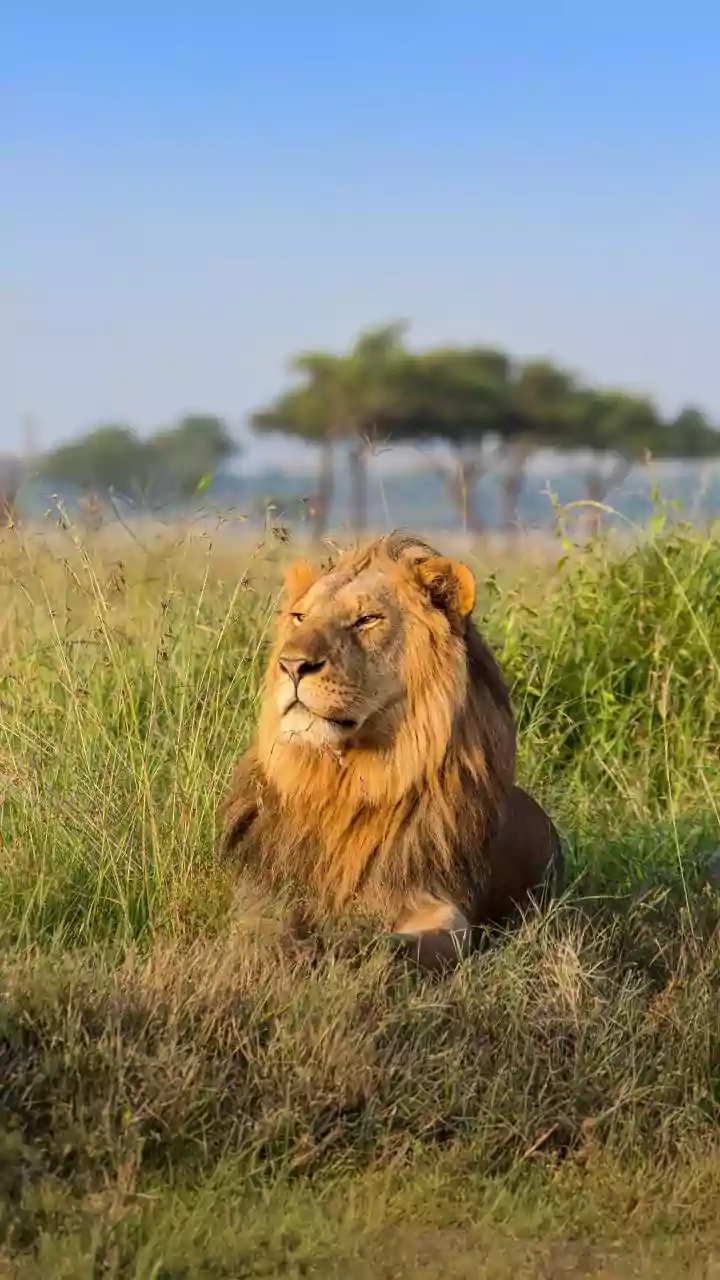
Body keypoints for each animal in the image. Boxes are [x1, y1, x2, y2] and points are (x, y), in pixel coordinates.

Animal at [221, 532, 563, 971]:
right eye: (299, 617)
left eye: (367, 620)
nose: (292, 664)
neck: (344, 783)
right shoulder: (262, 891)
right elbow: (255, 930)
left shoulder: (439, 902)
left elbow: (408, 944)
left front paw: (343, 947)